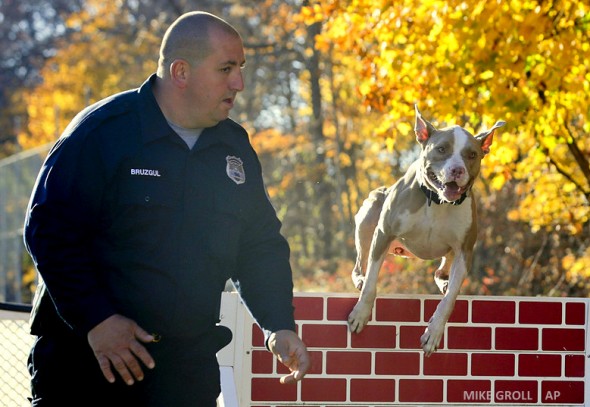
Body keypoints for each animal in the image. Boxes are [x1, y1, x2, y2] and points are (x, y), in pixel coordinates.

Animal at [350, 106, 506, 356]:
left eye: (472, 154)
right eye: (441, 149)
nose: (457, 169)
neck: (438, 201)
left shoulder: (464, 251)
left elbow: (450, 299)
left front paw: (434, 332)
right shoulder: (384, 233)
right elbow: (372, 282)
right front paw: (361, 313)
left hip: (449, 252)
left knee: (440, 272)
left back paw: (444, 282)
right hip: (371, 213)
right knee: (359, 265)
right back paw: (360, 279)